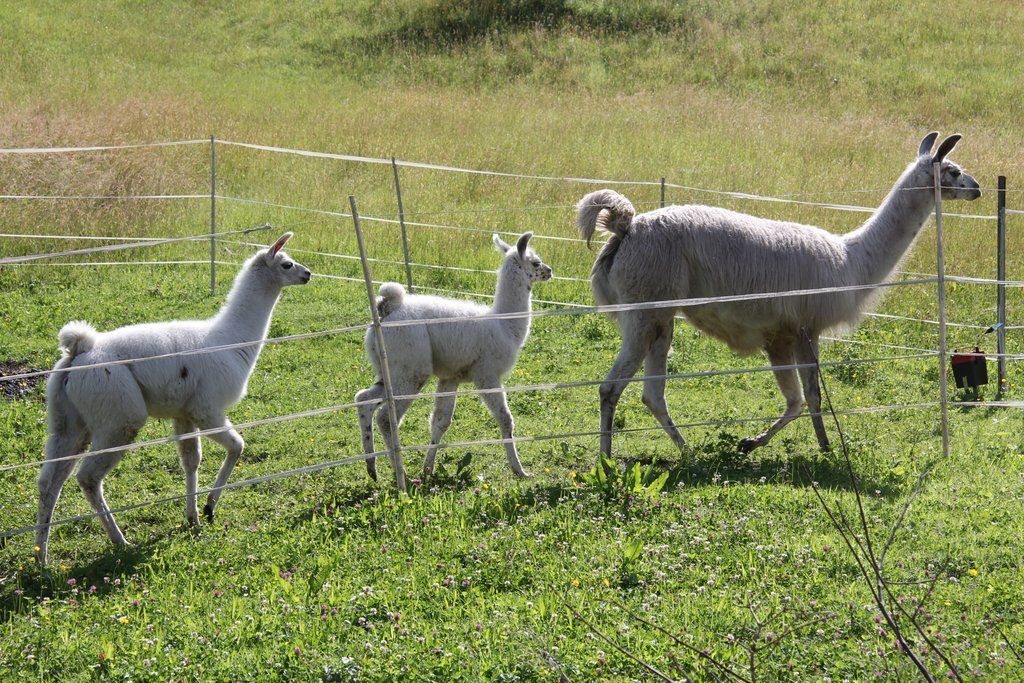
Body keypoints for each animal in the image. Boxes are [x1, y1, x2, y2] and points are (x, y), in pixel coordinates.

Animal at [35, 233, 311, 564]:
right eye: (287, 264)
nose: (308, 274)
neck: (232, 341)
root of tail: (80, 349)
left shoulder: (184, 413)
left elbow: (191, 461)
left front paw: (192, 517)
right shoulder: (207, 409)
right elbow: (238, 447)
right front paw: (209, 506)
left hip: (68, 420)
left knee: (49, 480)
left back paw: (41, 557)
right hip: (119, 415)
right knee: (87, 477)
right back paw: (119, 541)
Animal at [356, 232, 553, 482]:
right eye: (535, 262)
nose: (549, 270)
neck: (504, 324)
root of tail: (387, 310)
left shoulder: (451, 377)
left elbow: (440, 422)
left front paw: (428, 469)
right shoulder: (486, 374)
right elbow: (505, 418)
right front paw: (520, 471)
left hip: (389, 370)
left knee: (363, 399)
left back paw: (372, 468)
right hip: (411, 369)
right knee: (385, 418)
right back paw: (402, 475)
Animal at [576, 132, 981, 458]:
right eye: (953, 170)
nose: (977, 188)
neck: (851, 260)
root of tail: (626, 227)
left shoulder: (779, 337)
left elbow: (795, 400)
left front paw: (750, 443)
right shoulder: (806, 329)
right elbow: (814, 396)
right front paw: (827, 448)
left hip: (658, 317)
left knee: (652, 394)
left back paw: (686, 452)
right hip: (646, 309)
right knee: (610, 388)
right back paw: (607, 460)